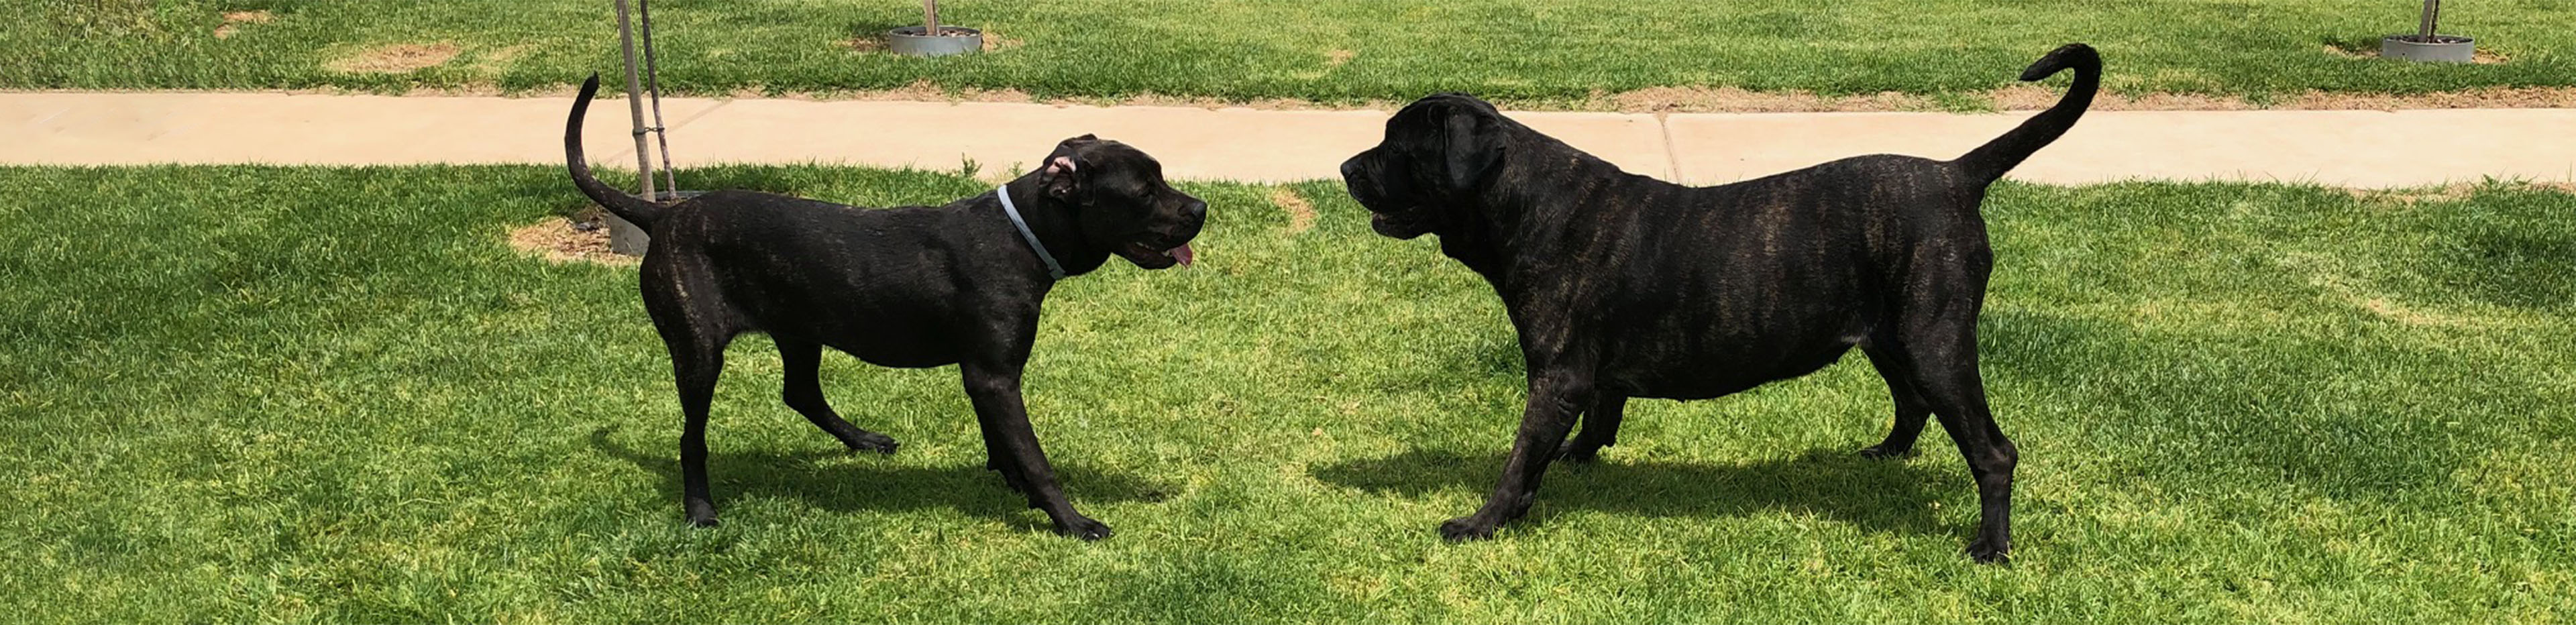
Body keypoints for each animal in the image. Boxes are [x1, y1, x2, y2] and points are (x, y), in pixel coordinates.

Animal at [1339, 44, 2102, 561]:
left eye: (1396, 145)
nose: (1346, 166)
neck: (1528, 202)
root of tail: (1956, 174)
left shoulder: (1556, 377)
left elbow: (1521, 456)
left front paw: (1483, 521)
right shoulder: (1591, 376)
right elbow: (1599, 415)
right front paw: (1579, 457)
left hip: (1935, 343)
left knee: (1994, 451)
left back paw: (1991, 546)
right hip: (1891, 338)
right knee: (1912, 405)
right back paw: (1885, 453)